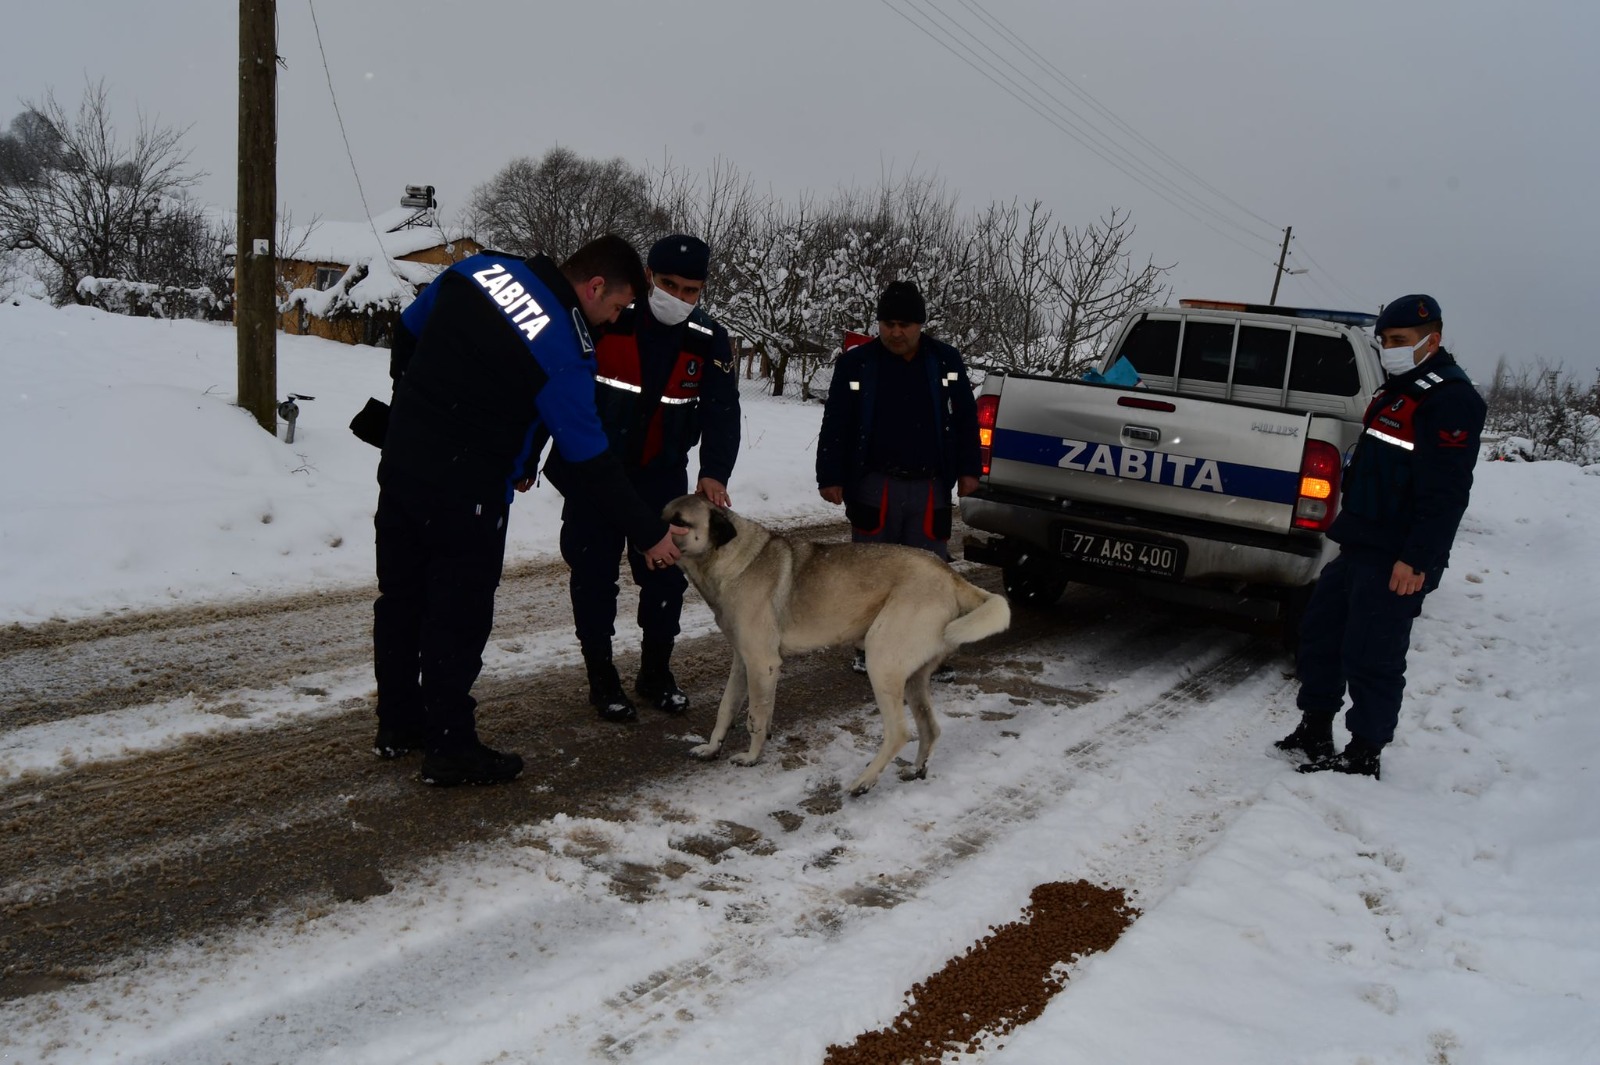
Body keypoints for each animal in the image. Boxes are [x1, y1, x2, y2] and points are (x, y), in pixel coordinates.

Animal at [665, 492, 1011, 793]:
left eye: (679, 523)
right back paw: (916, 769)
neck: (728, 559)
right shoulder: (743, 662)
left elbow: (756, 717)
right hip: (913, 678)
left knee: (899, 733)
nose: (654, 542)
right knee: (930, 728)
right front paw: (712, 747)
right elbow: (726, 708)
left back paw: (864, 782)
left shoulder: (762, 663)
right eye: (663, 517)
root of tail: (951, 576)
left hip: (881, 661)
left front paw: (752, 757)